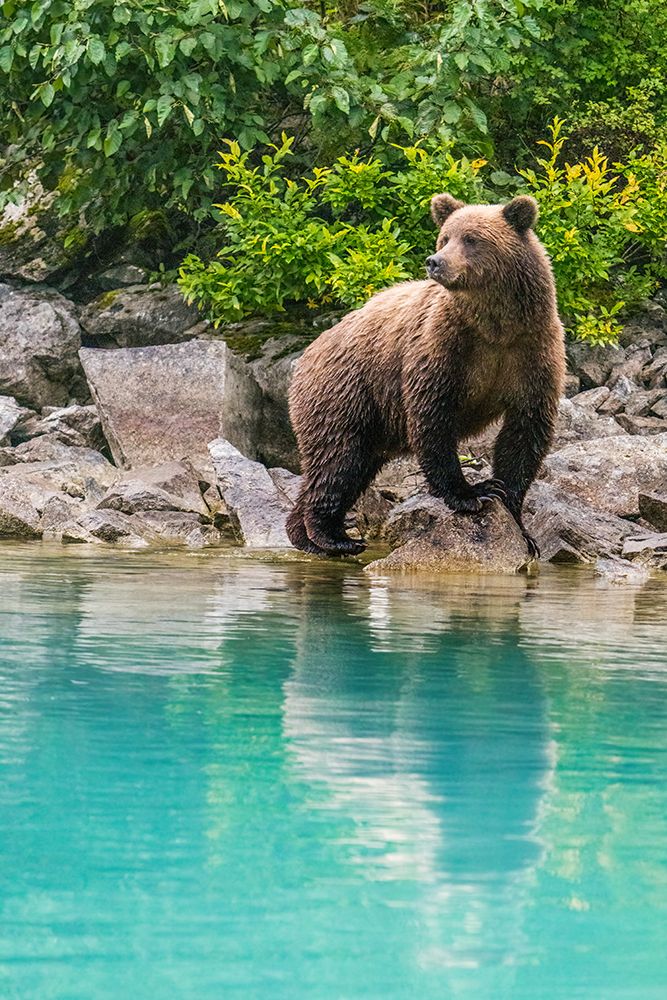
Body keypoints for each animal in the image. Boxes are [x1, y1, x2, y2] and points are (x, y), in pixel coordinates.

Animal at [288, 193, 564, 556]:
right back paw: (334, 537)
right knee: (339, 461)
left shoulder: (532, 352)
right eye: (445, 238)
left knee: (346, 467)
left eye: (471, 239)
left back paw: (304, 535)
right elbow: (433, 417)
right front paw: (470, 494)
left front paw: (519, 522)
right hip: (346, 392)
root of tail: (305, 357)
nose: (435, 261)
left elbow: (526, 430)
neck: (494, 327)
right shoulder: (442, 349)